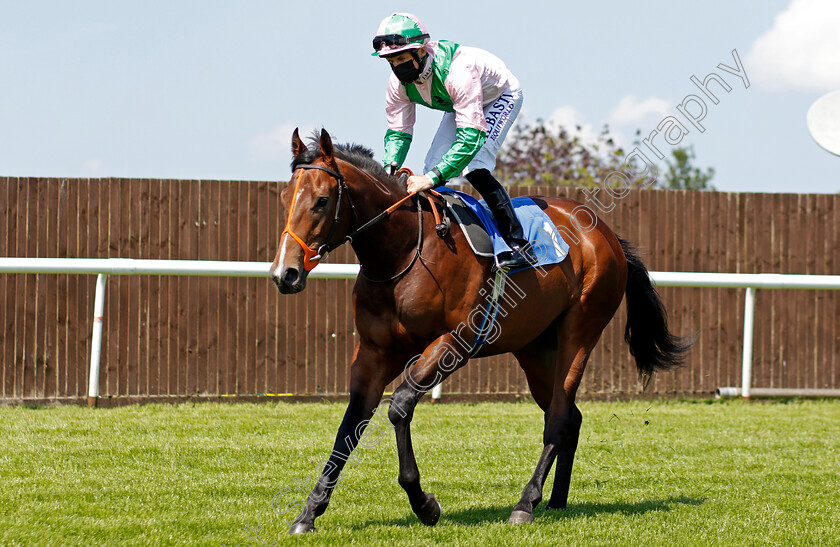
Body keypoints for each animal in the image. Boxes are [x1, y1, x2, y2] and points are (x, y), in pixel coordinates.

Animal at [270, 128, 688, 536]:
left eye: (322, 201)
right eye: (285, 197)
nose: (284, 274)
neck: (404, 251)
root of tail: (607, 235)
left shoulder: (454, 342)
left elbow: (399, 406)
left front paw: (425, 504)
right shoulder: (374, 352)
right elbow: (350, 426)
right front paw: (309, 512)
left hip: (580, 332)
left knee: (557, 418)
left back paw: (525, 504)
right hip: (535, 349)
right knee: (570, 416)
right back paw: (555, 501)